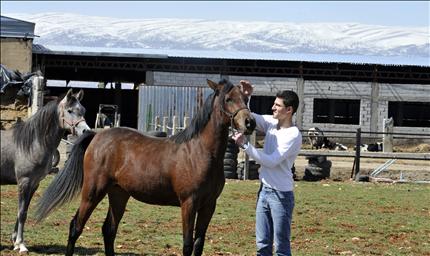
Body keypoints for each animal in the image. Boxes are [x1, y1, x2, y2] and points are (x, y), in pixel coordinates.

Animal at [0, 89, 90, 253]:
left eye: (83, 110)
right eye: (69, 110)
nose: (86, 130)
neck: (31, 143)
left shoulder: (34, 184)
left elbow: (23, 210)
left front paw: (15, 242)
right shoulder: (24, 182)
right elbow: (22, 213)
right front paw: (21, 245)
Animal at [37, 79, 255, 255]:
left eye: (245, 98)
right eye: (228, 99)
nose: (249, 122)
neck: (200, 152)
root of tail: (97, 136)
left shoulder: (209, 205)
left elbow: (198, 245)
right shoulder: (189, 203)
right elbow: (187, 245)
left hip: (118, 194)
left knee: (109, 230)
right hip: (92, 192)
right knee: (76, 227)